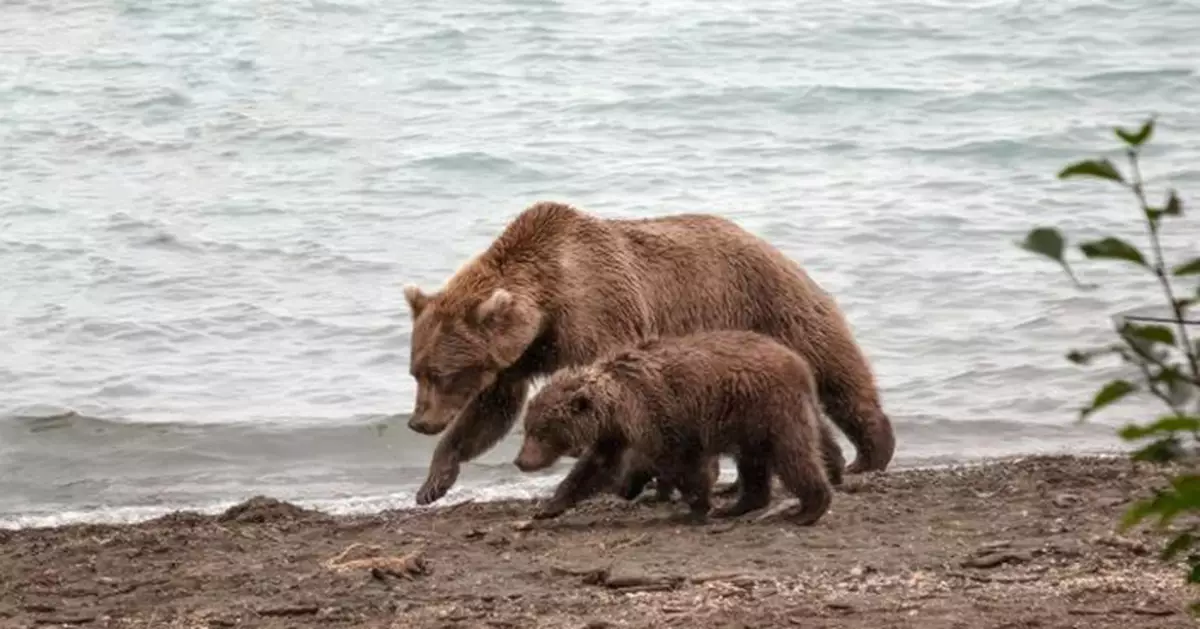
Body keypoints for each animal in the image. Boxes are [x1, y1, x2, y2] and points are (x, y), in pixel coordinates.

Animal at [403, 200, 893, 506]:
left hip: (767, 304)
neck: (547, 305)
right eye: (417, 371)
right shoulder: (517, 358)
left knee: (833, 366)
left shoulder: (599, 315)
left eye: (441, 373)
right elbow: (490, 411)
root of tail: (766, 243)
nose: (418, 422)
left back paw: (870, 451)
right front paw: (433, 481)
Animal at [512, 329, 835, 525]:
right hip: (749, 423)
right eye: (527, 427)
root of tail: (800, 363)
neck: (618, 406)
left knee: (793, 455)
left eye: (541, 431)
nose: (520, 461)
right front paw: (549, 507)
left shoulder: (665, 418)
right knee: (752, 462)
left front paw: (696, 506)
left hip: (770, 408)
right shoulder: (615, 434)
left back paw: (810, 508)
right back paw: (739, 506)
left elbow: (684, 463)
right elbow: (593, 468)